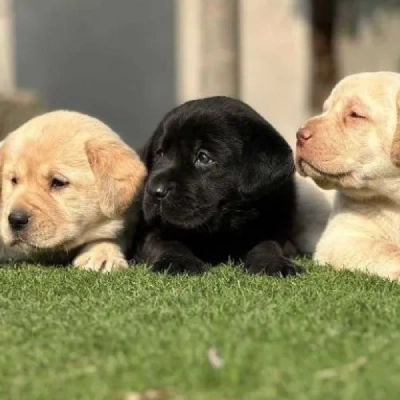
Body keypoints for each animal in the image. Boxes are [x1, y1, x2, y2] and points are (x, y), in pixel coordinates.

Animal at [133, 97, 302, 276]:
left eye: (204, 157)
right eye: (160, 153)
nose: (155, 191)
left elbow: (268, 244)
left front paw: (272, 262)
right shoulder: (151, 232)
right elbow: (166, 242)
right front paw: (178, 261)